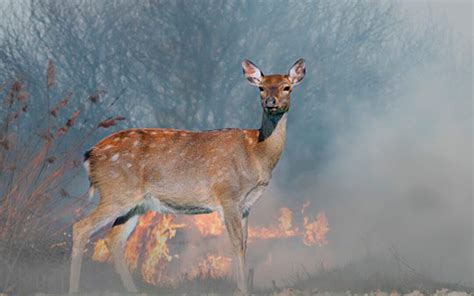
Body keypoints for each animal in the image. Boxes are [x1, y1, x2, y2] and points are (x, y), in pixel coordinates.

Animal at [70, 57, 308, 294]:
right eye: (261, 88)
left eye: (286, 87)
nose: (270, 102)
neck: (257, 153)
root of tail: (89, 156)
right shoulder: (228, 195)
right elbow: (236, 245)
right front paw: (241, 290)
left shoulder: (246, 205)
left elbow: (245, 244)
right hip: (116, 191)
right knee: (81, 227)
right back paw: (74, 288)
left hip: (136, 203)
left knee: (114, 239)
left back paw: (134, 290)